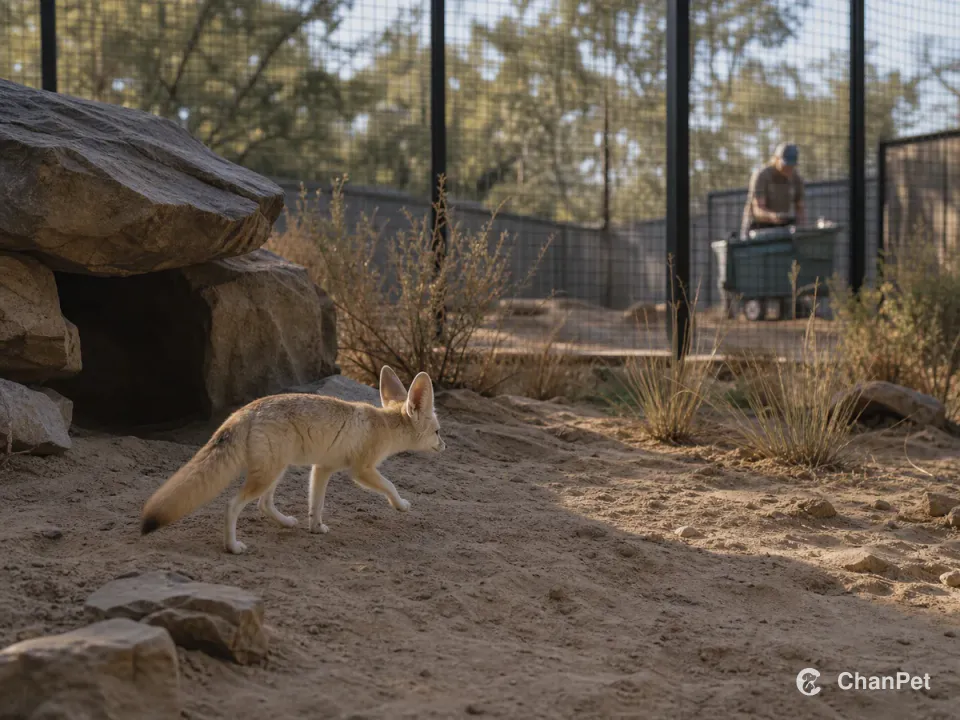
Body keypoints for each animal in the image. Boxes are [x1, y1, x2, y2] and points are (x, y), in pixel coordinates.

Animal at [140, 366, 445, 554]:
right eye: (438, 431)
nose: (444, 446)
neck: (383, 424)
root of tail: (245, 411)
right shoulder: (362, 470)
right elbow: (390, 486)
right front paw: (401, 505)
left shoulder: (322, 468)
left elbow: (316, 504)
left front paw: (316, 528)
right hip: (269, 474)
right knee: (232, 505)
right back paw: (232, 546)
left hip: (277, 471)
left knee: (263, 505)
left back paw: (286, 522)